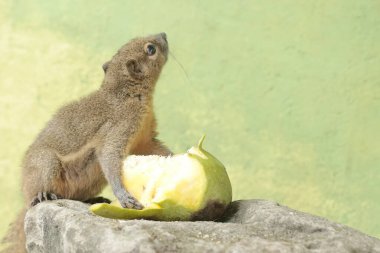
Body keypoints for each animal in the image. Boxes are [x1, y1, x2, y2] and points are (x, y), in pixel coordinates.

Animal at [1, 33, 171, 253]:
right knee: (39, 194)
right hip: (46, 164)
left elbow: (157, 150)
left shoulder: (145, 140)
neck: (125, 95)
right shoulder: (118, 129)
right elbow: (109, 157)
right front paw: (124, 196)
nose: (163, 35)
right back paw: (42, 196)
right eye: (151, 49)